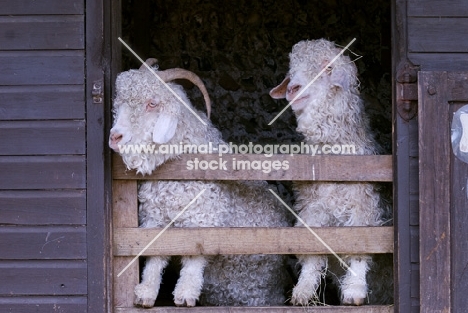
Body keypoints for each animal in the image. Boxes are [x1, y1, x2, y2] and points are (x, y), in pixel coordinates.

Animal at [110, 59, 292, 308]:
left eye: (152, 103)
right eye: (119, 104)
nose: (115, 137)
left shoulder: (204, 217)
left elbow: (195, 253)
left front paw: (185, 295)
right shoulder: (155, 218)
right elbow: (155, 255)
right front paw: (145, 294)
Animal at [270, 39, 392, 304]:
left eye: (327, 68)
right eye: (291, 70)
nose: (293, 88)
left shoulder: (363, 203)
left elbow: (360, 246)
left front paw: (355, 290)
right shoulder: (313, 208)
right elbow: (312, 249)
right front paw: (304, 291)